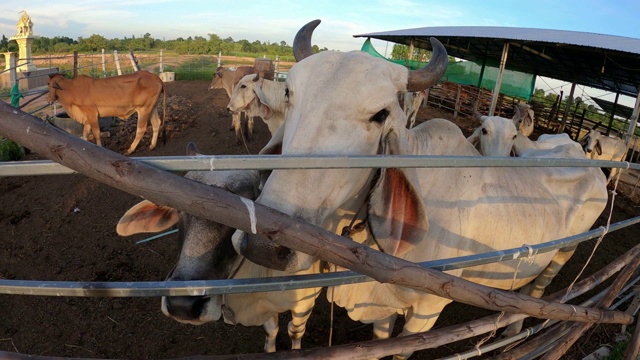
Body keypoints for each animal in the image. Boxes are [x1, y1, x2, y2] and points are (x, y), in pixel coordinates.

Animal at [232, 21, 608, 358]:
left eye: (381, 114)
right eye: (289, 95)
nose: (265, 246)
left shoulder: (429, 309)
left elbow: (404, 349)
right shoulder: (382, 304)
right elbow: (382, 342)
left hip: (563, 253)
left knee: (540, 288)